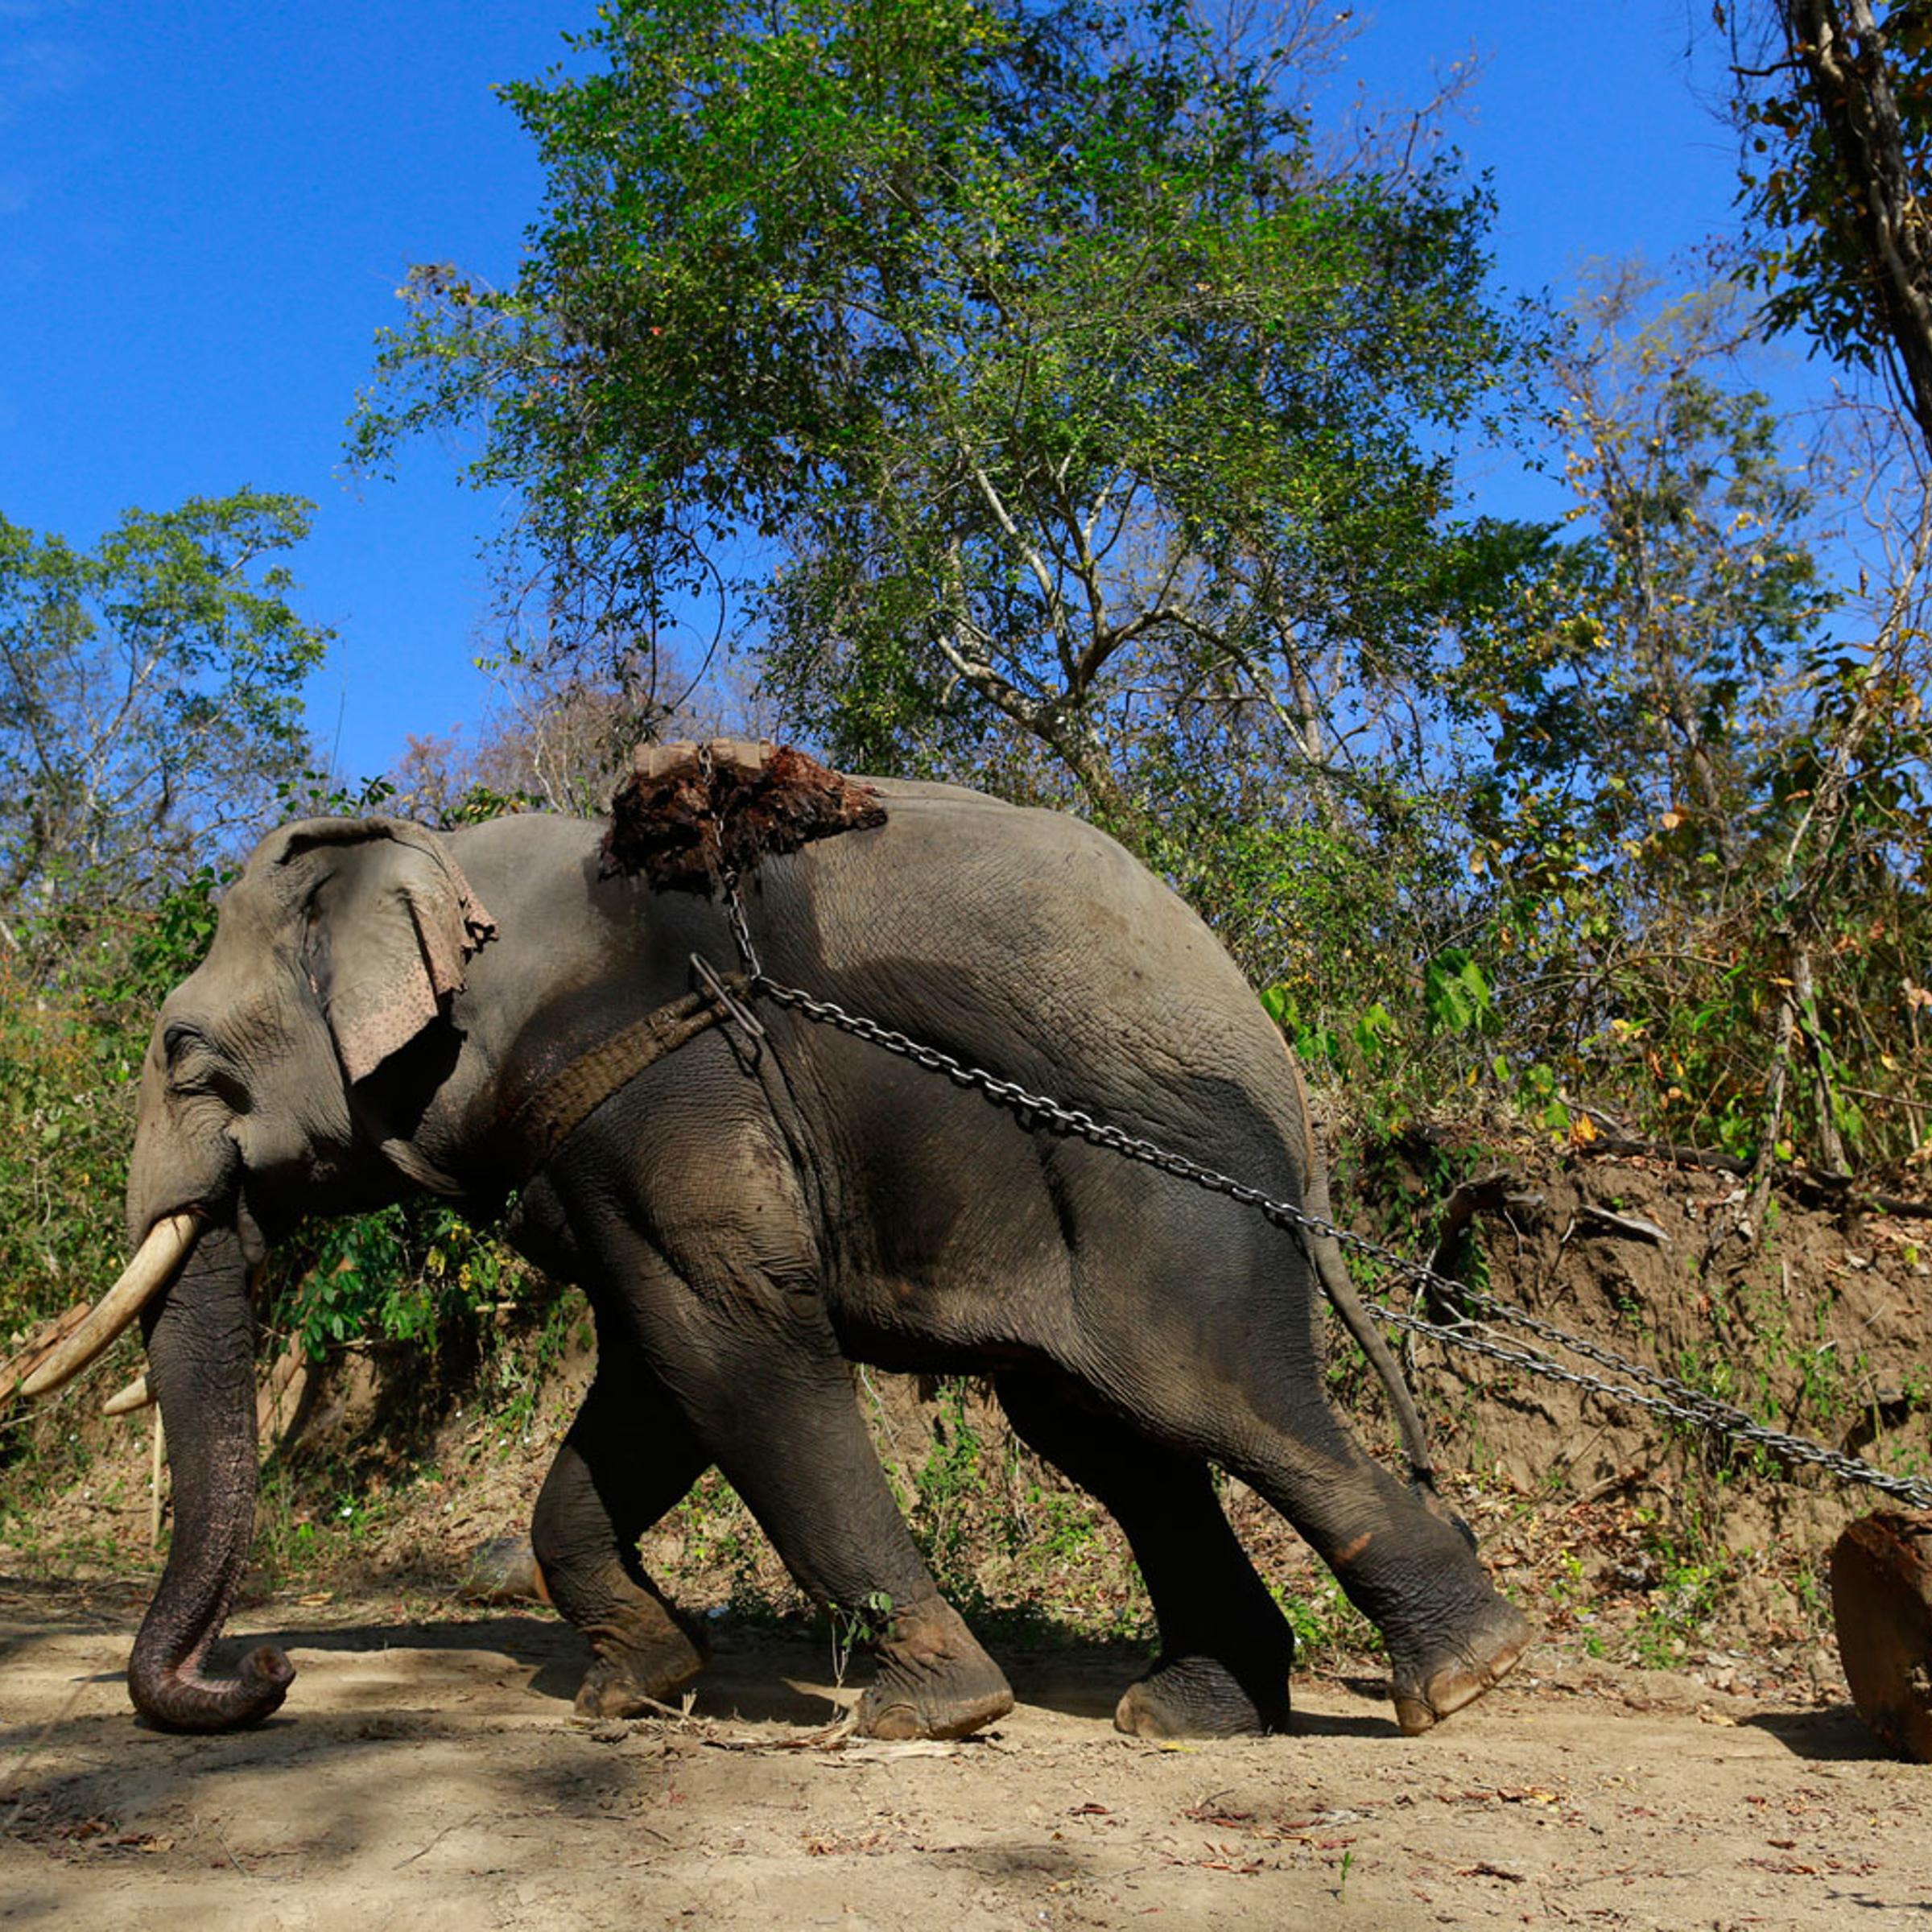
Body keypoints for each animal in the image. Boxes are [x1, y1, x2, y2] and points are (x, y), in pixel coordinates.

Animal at [28, 780, 1530, 1739]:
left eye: (186, 1058)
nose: (271, 1669)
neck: (451, 870)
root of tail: (1291, 1093)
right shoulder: (605, 1140)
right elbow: (651, 1378)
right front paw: (635, 1689)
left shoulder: (665, 1078)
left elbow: (733, 1344)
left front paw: (934, 1713)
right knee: (1110, 1442)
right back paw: (1192, 1715)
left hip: (1164, 1196)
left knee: (1203, 1399)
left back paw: (1461, 1678)